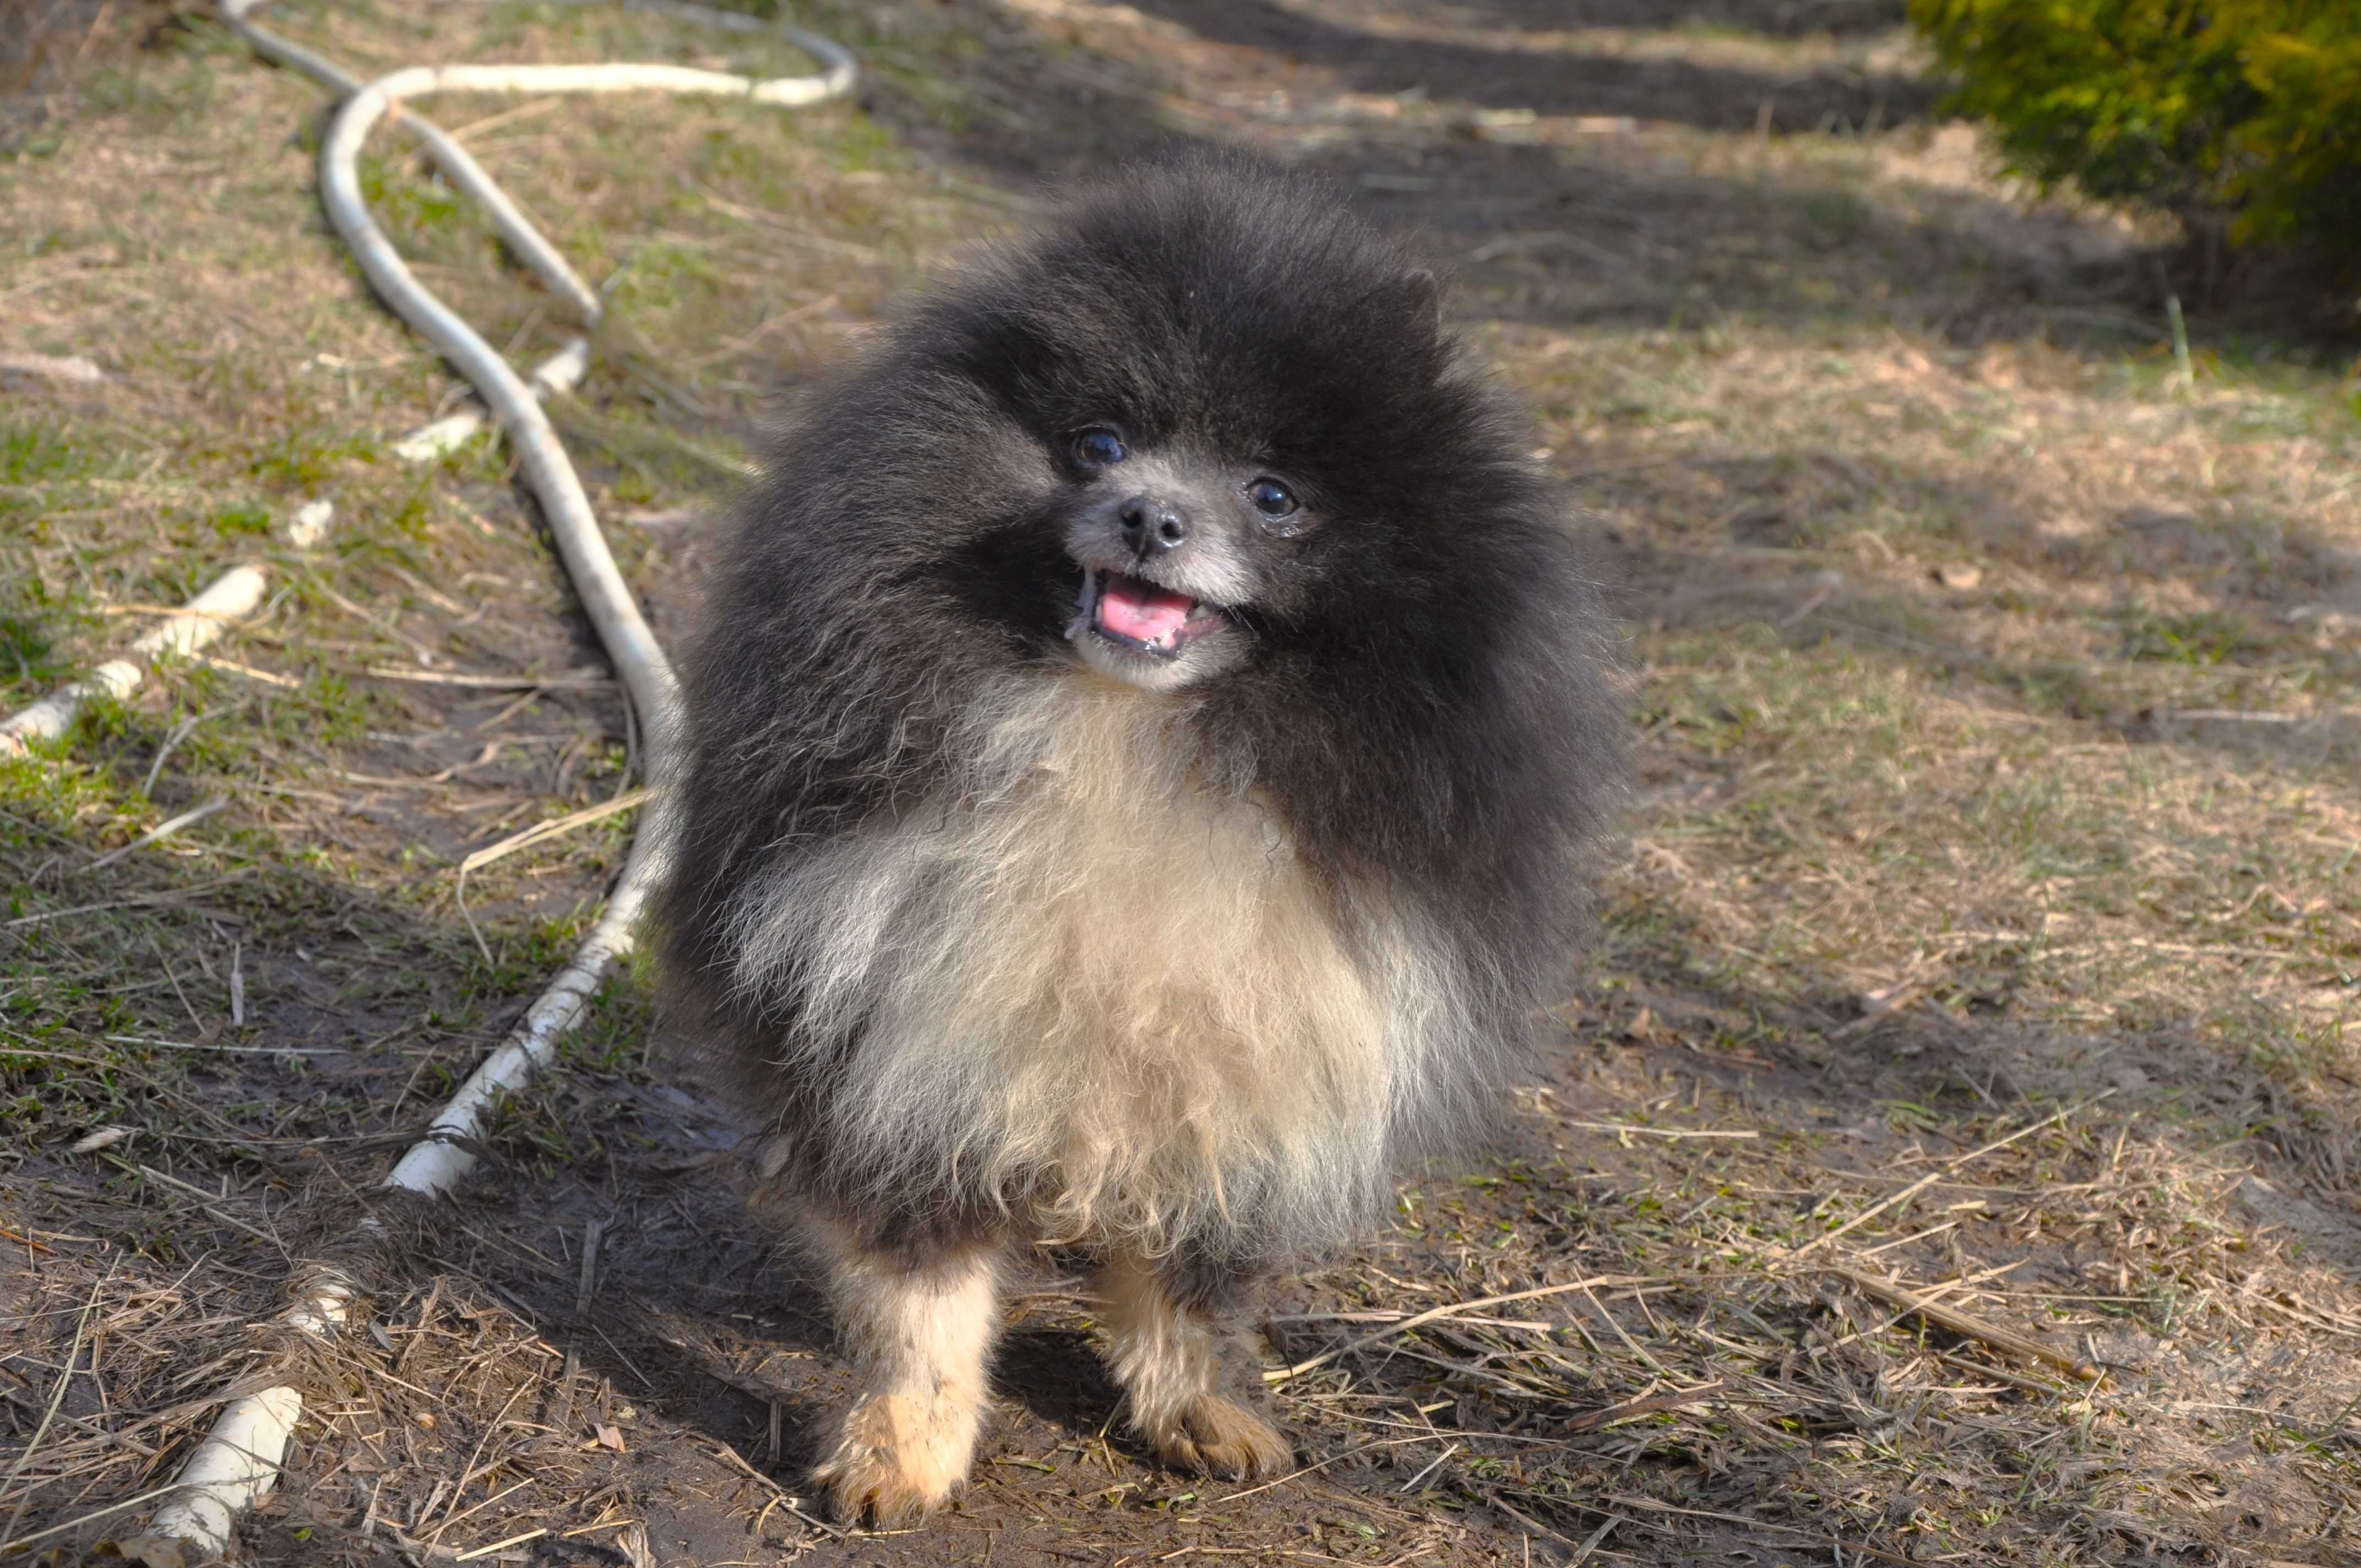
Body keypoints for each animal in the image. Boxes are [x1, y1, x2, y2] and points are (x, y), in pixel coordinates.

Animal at [661, 153, 1624, 1521]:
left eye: (1274, 496)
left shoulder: (1262, 1053)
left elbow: (1193, 1281)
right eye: (1097, 446)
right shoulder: (902, 1030)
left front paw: (1198, 1409)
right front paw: (901, 1451)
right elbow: (920, 1301)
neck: (1128, 740)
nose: (1150, 518)